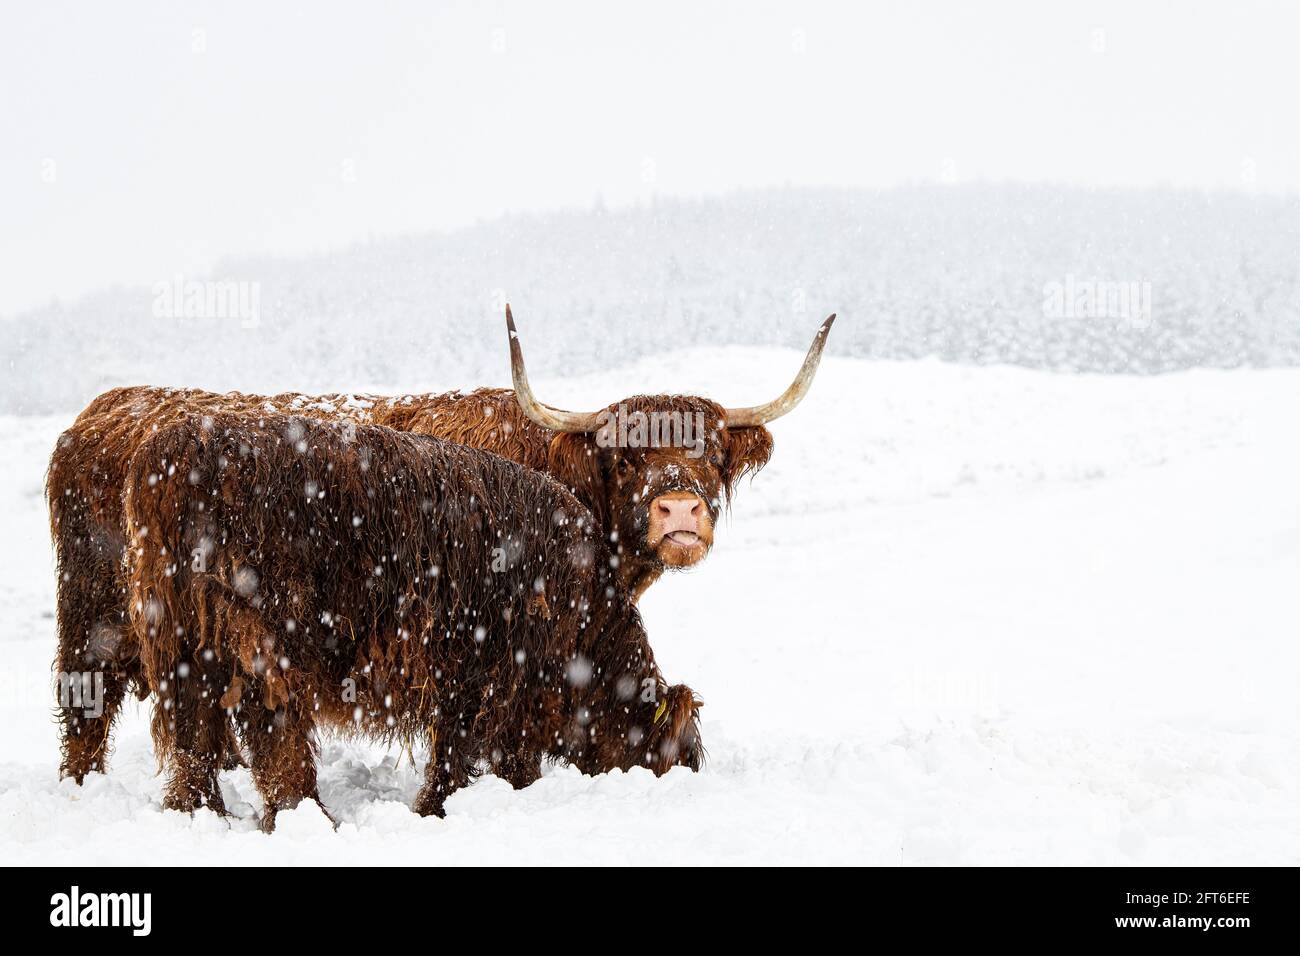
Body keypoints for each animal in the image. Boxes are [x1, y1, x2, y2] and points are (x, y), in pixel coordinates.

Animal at [124, 413, 702, 832]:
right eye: (669, 755)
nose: (687, 779)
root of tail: (183, 446)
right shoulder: (499, 677)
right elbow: (473, 752)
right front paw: (438, 810)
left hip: (178, 631)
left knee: (192, 728)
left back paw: (196, 812)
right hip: (262, 630)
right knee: (273, 728)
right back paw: (308, 816)